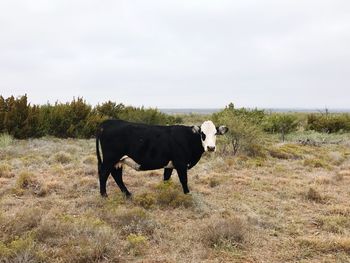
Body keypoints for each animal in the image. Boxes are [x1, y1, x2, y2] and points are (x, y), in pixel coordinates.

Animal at [94, 119, 228, 198]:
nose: (211, 147)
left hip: (118, 160)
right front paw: (187, 194)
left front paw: (165, 191)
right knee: (104, 173)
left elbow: (166, 179)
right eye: (202, 134)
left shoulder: (169, 165)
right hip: (110, 158)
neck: (188, 138)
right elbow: (184, 180)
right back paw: (104, 195)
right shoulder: (181, 163)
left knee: (116, 175)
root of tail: (108, 122)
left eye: (215, 133)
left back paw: (127, 194)